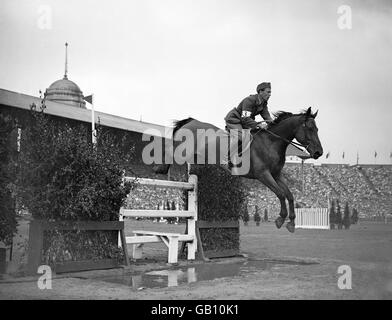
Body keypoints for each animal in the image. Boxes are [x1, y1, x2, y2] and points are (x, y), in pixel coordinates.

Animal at [155, 107, 324, 232]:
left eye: (317, 129)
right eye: (309, 128)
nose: (318, 153)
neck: (272, 142)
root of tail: (191, 121)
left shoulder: (277, 175)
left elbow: (290, 195)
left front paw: (292, 223)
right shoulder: (263, 175)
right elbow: (281, 194)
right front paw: (280, 219)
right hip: (182, 152)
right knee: (169, 151)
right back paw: (160, 168)